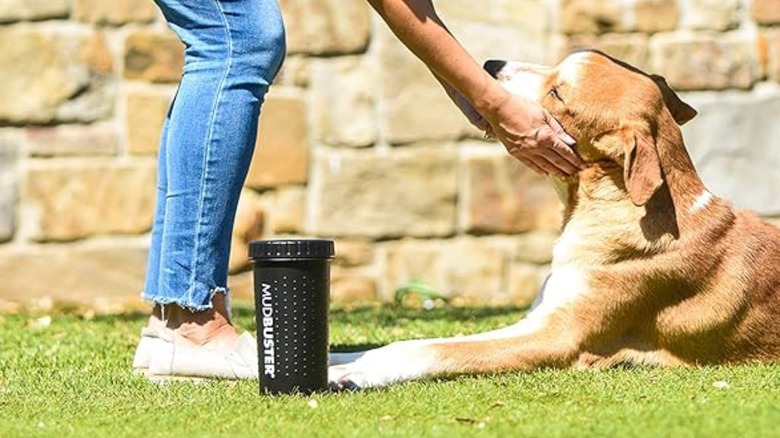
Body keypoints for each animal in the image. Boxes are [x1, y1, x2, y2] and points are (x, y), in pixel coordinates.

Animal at [326, 49, 776, 388]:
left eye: (557, 93)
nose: (490, 65)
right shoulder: (540, 317)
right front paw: (336, 360)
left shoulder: (559, 337)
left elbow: (426, 346)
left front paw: (356, 373)